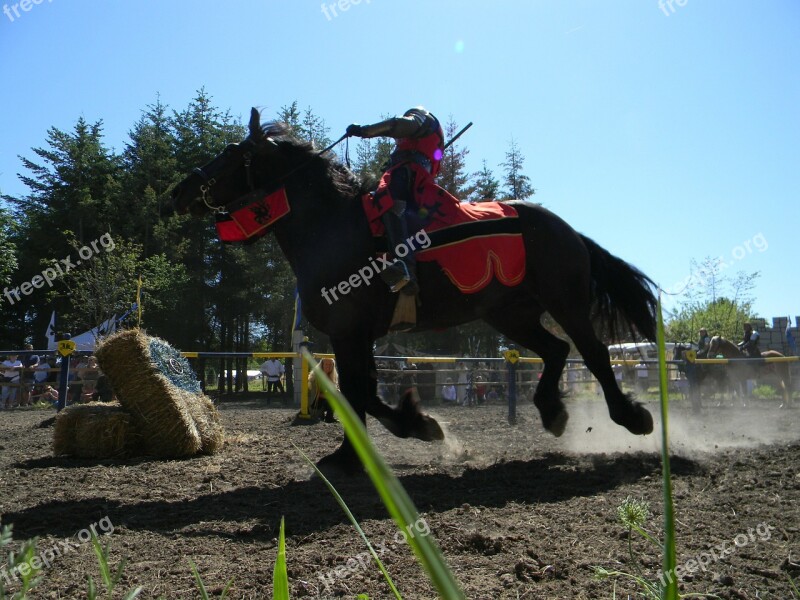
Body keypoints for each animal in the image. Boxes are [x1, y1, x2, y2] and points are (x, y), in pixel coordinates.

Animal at [172, 109, 660, 474]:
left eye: (232, 153)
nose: (179, 190)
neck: (335, 229)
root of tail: (566, 229)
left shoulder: (350, 333)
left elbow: (360, 393)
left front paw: (394, 437)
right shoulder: (354, 337)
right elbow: (360, 393)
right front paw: (383, 442)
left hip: (565, 301)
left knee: (593, 353)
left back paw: (631, 417)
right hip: (510, 313)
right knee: (556, 350)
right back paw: (552, 412)